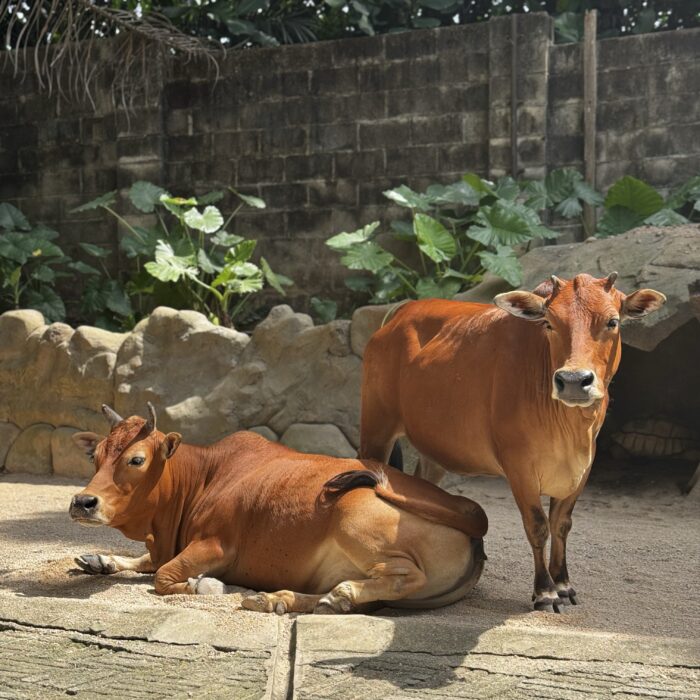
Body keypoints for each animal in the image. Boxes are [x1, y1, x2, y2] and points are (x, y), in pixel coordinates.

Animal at [69, 404, 488, 614]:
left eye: (136, 459)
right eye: (97, 456)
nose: (82, 502)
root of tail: (468, 515)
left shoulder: (215, 545)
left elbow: (163, 575)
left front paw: (208, 584)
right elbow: (147, 561)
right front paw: (100, 560)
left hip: (354, 513)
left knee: (405, 575)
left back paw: (334, 594)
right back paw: (283, 599)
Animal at [359, 273, 666, 612]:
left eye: (613, 321)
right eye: (548, 323)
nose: (573, 381)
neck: (570, 428)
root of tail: (401, 311)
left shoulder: (583, 467)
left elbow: (561, 523)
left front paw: (563, 584)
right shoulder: (519, 466)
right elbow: (538, 525)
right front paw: (545, 591)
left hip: (432, 452)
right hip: (376, 427)